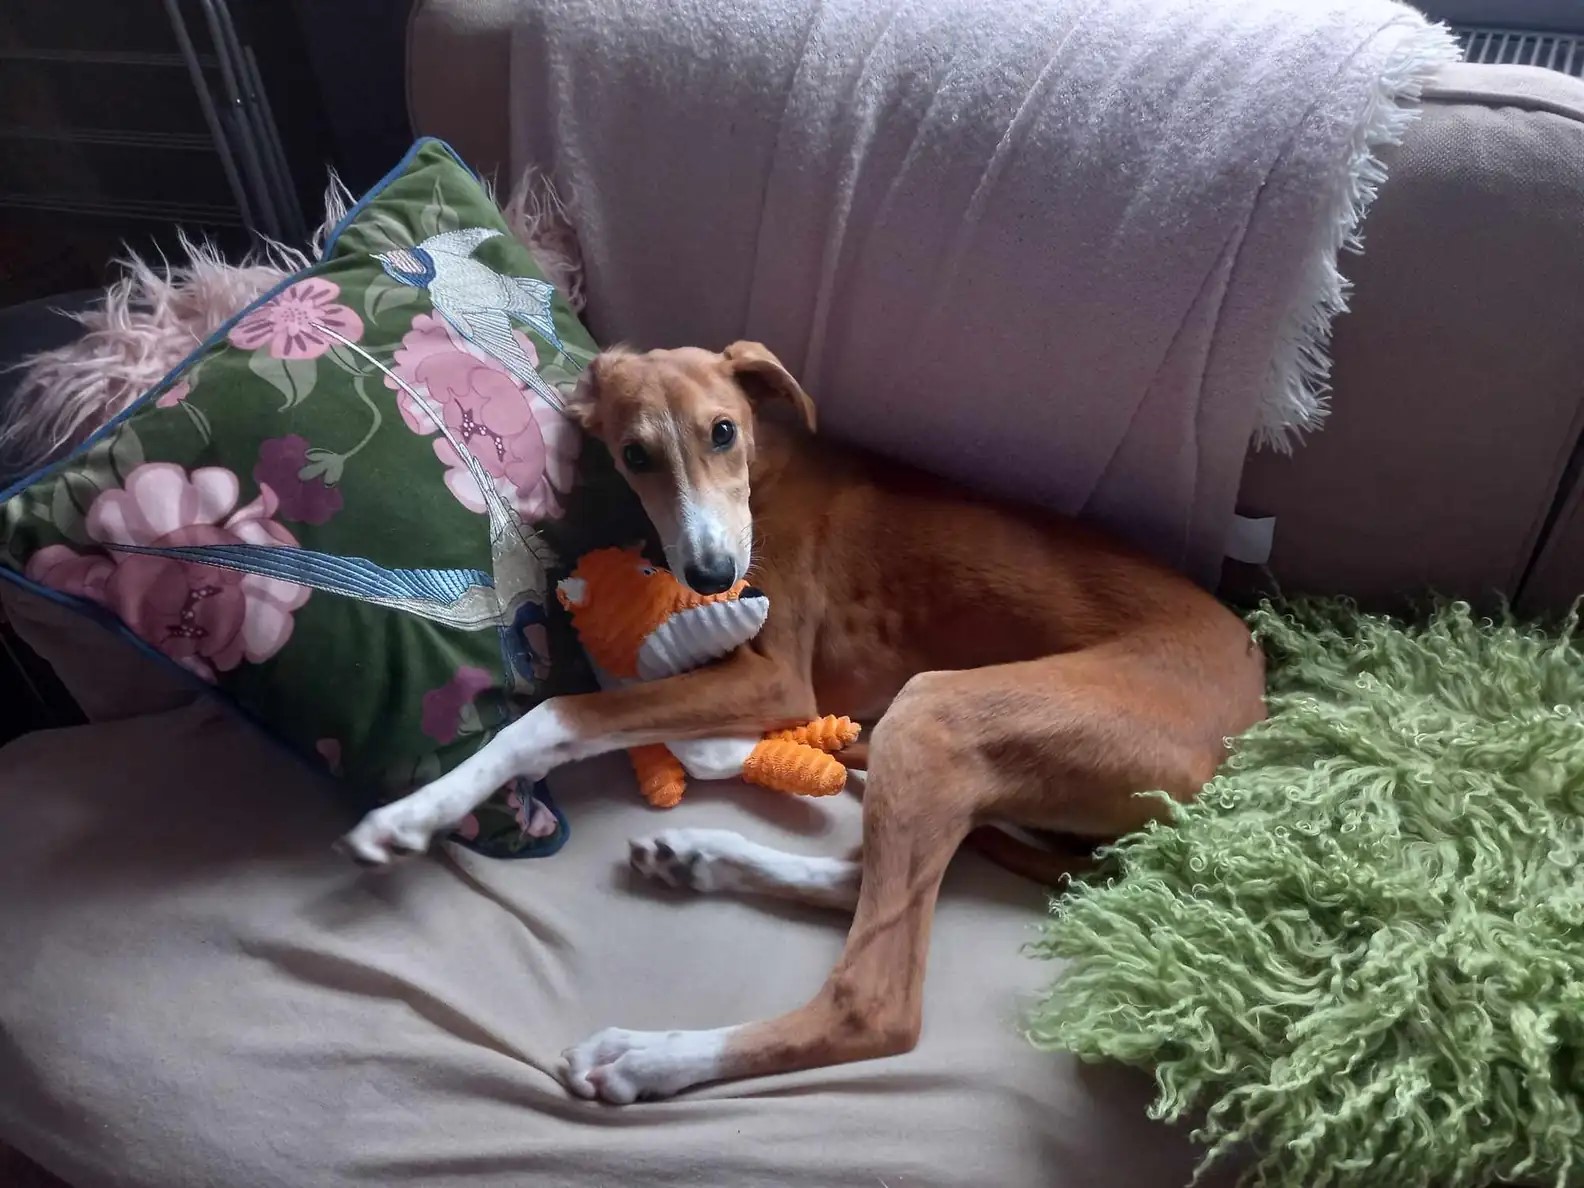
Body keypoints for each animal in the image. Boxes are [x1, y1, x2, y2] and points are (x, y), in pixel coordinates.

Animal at [340, 342, 1267, 1108]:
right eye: (635, 454)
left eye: (722, 431)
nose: (712, 574)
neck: (768, 467)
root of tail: (1250, 731)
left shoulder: (777, 675)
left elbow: (560, 713)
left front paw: (411, 814)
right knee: (884, 879)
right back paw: (701, 859)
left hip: (939, 713)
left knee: (874, 1000)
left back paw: (649, 1056)